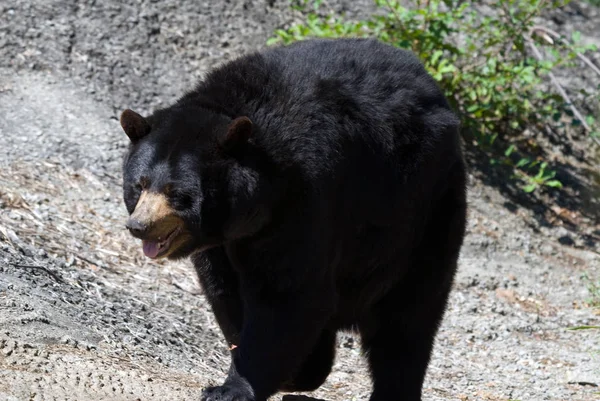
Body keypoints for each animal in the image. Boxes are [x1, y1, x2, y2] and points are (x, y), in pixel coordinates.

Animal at [120, 38, 468, 400]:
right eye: (139, 184)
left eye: (176, 192)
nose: (139, 226)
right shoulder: (224, 244)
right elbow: (225, 291)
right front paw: (294, 369)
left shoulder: (304, 199)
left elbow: (286, 294)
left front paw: (232, 388)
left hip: (424, 214)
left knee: (407, 319)